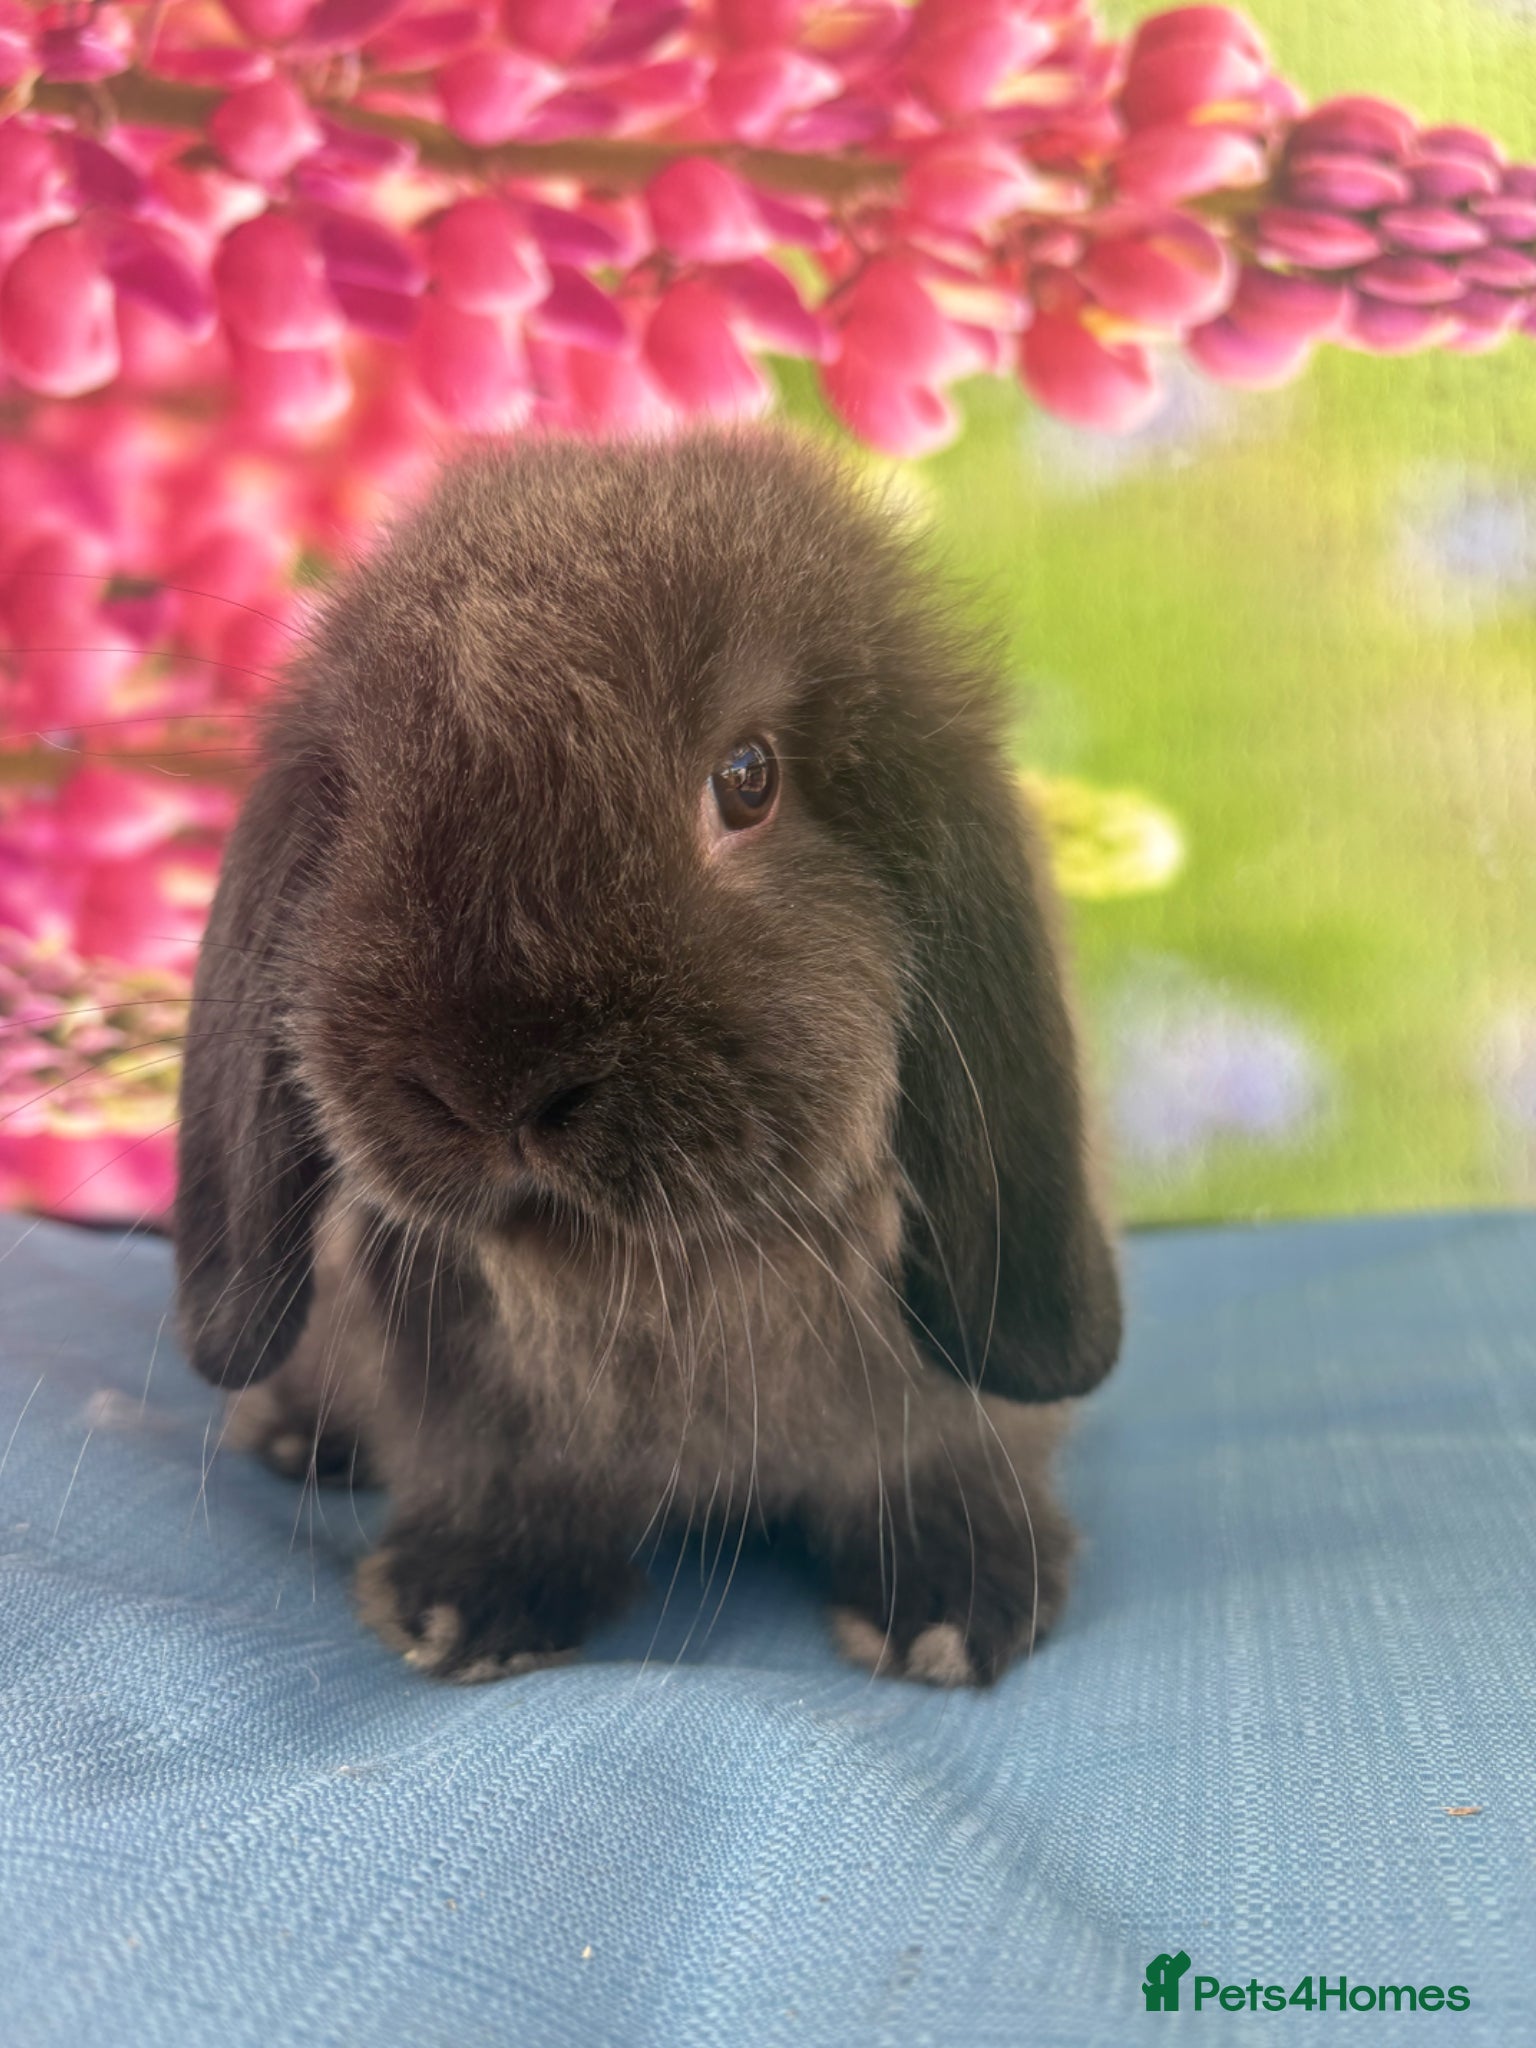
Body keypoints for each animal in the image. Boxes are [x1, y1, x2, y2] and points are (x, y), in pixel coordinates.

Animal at [174, 430, 1122, 1687]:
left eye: (749, 776)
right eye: (360, 802)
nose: (492, 1084)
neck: (655, 1269)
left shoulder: (942, 1410)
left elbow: (938, 1467)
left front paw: (959, 1605)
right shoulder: (478, 1410)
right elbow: (502, 1482)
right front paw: (467, 1602)